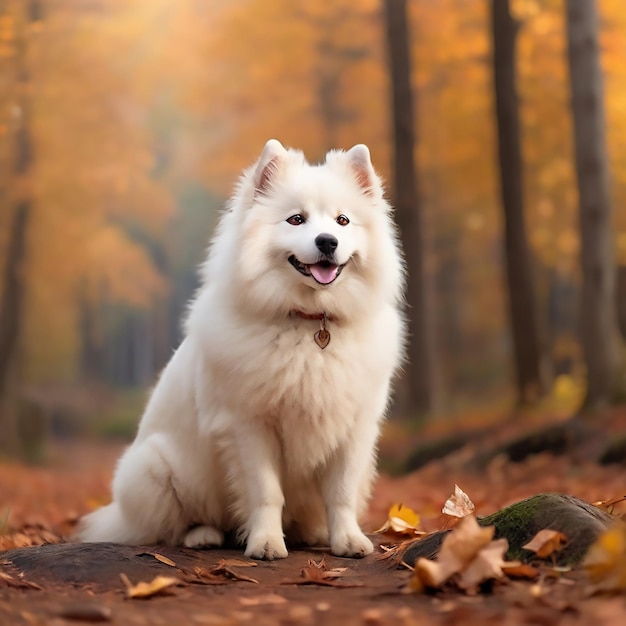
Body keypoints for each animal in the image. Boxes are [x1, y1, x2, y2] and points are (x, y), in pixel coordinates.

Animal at [77, 140, 404, 556]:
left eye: (342, 221)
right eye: (296, 220)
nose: (327, 242)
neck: (308, 323)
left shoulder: (353, 429)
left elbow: (341, 494)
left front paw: (347, 540)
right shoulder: (250, 426)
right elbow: (266, 492)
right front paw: (266, 543)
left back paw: (309, 533)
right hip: (155, 469)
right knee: (175, 526)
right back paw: (204, 536)